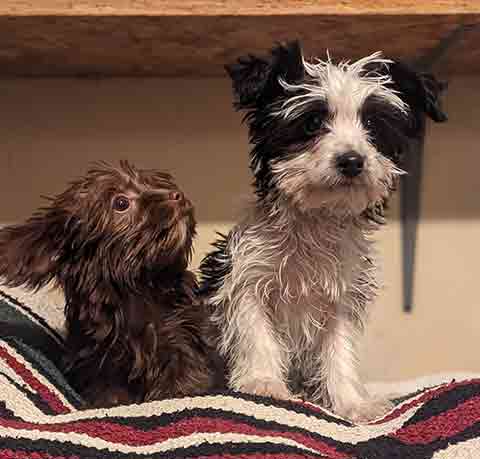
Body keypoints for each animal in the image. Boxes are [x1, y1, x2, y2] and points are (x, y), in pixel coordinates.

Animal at [0, 162, 219, 410]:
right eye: (121, 203)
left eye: (152, 182)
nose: (177, 195)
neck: (139, 291)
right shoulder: (99, 370)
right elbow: (110, 396)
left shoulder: (185, 347)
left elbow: (183, 385)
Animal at [201, 41, 448, 422]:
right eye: (313, 121)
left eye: (372, 124)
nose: (352, 161)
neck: (315, 221)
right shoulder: (245, 278)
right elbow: (256, 332)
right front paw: (263, 383)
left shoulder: (341, 298)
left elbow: (339, 350)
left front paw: (352, 403)